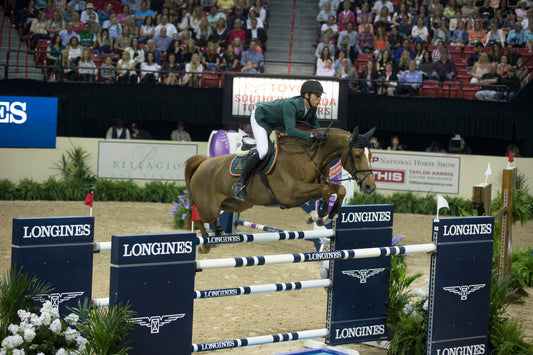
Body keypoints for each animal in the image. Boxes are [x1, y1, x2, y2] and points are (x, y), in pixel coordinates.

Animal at [185, 127, 376, 250]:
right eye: (357, 155)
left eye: (371, 155)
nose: (370, 187)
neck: (308, 157)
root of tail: (203, 163)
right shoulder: (292, 194)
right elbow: (327, 191)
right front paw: (320, 216)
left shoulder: (314, 189)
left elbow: (338, 190)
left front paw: (323, 215)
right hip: (209, 207)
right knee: (199, 217)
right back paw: (207, 244)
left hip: (236, 204)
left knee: (210, 217)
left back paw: (218, 232)